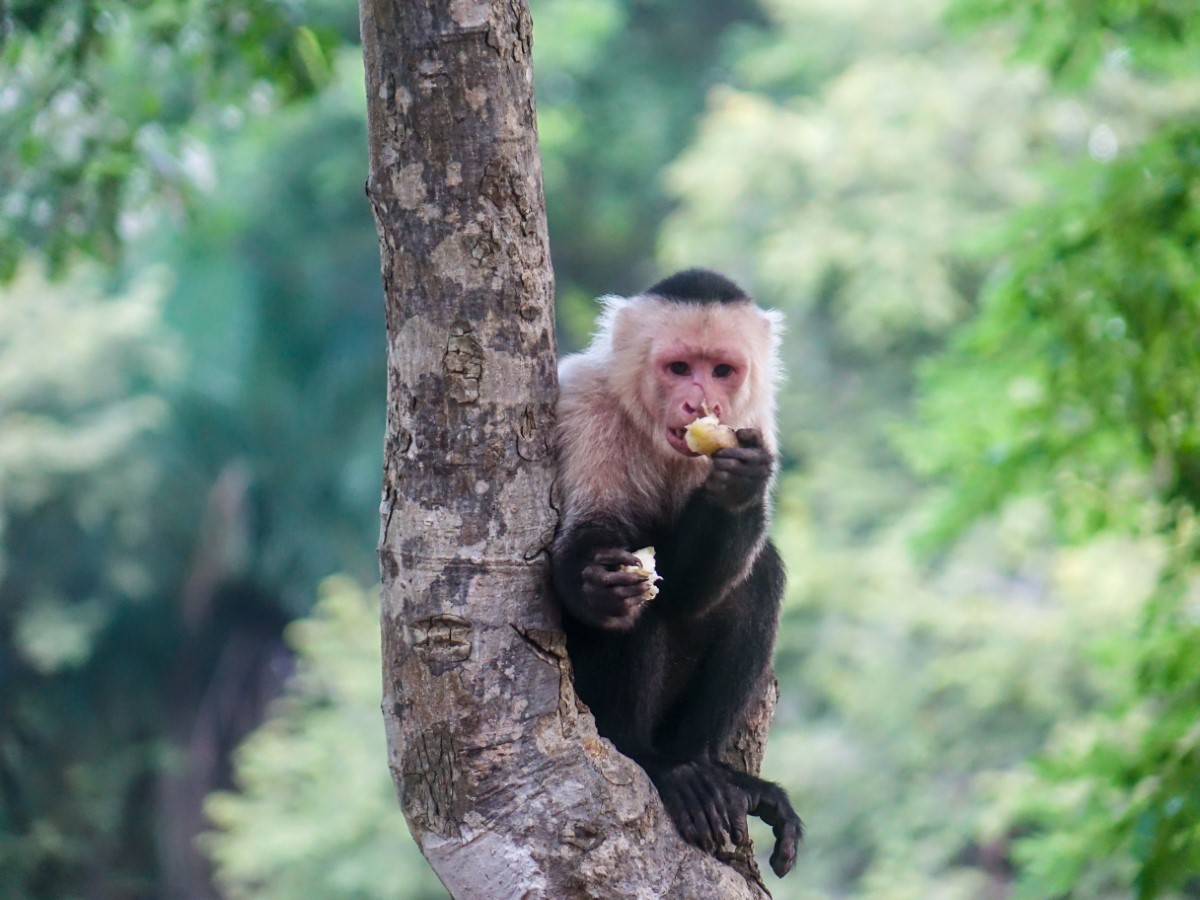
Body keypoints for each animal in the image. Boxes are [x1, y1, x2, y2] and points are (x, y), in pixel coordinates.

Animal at [554, 267, 806, 883]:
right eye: (678, 367)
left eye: (722, 371)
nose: (701, 400)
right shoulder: (582, 403)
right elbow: (585, 543)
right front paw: (597, 585)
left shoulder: (753, 422)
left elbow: (695, 593)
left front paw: (740, 486)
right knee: (639, 610)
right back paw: (649, 760)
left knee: (756, 579)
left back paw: (706, 768)